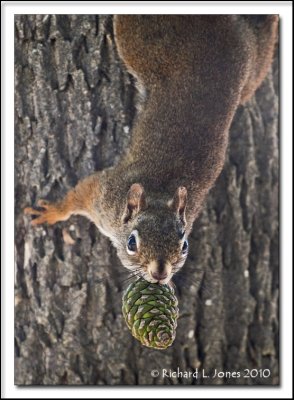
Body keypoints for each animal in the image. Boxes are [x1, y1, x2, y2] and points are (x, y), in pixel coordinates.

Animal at [24, 15, 278, 284]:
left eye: (184, 245)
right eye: (132, 243)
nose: (160, 273)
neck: (159, 194)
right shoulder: (103, 196)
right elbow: (80, 193)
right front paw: (52, 212)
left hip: (250, 69)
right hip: (141, 41)